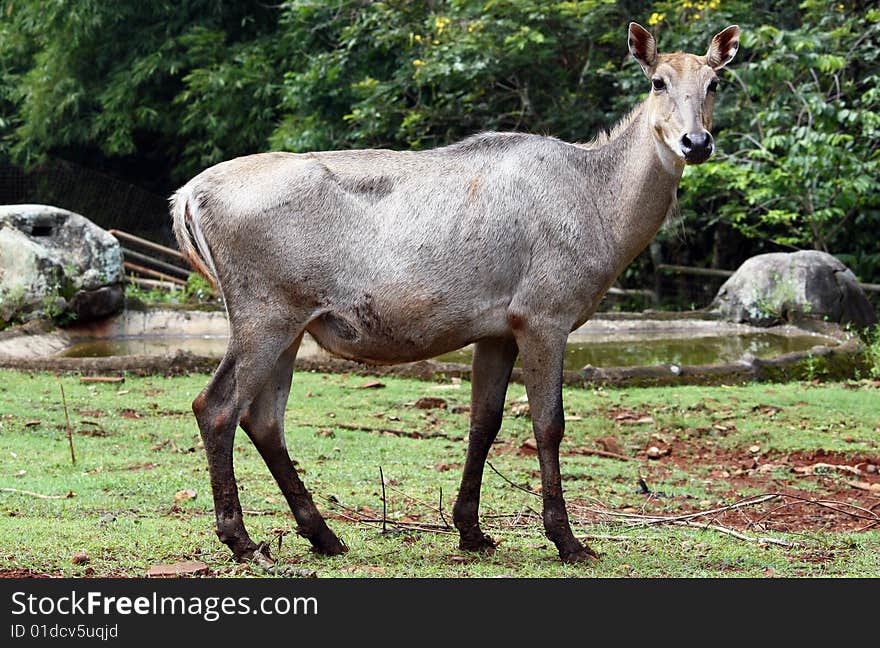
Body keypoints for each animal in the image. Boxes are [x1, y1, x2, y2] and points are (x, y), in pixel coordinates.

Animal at [172, 22, 744, 564]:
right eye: (658, 81)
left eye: (715, 82)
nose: (696, 142)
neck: (602, 210)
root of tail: (187, 197)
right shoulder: (544, 314)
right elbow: (549, 423)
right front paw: (567, 540)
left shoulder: (497, 329)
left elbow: (483, 422)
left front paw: (471, 530)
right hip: (264, 312)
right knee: (216, 406)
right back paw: (242, 539)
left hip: (293, 322)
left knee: (264, 418)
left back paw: (324, 535)